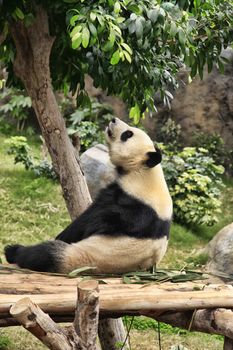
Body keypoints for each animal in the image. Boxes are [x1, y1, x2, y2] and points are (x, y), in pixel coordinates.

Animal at [4, 119, 173, 274]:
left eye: (128, 134)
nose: (113, 120)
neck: (143, 173)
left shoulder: (131, 203)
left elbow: (90, 222)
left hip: (81, 256)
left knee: (46, 254)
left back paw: (13, 251)